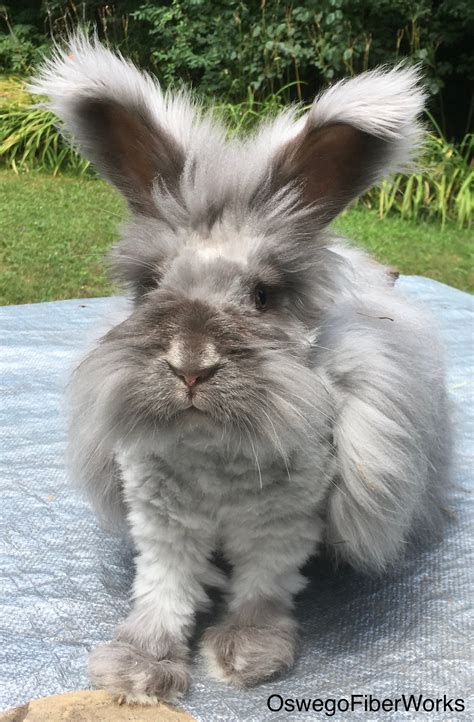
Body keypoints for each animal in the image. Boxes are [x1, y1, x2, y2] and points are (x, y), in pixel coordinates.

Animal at [30, 34, 452, 705]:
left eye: (261, 297)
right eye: (150, 287)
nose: (190, 365)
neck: (213, 452)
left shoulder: (280, 529)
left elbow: (262, 587)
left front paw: (247, 656)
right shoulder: (163, 527)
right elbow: (164, 591)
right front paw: (136, 671)